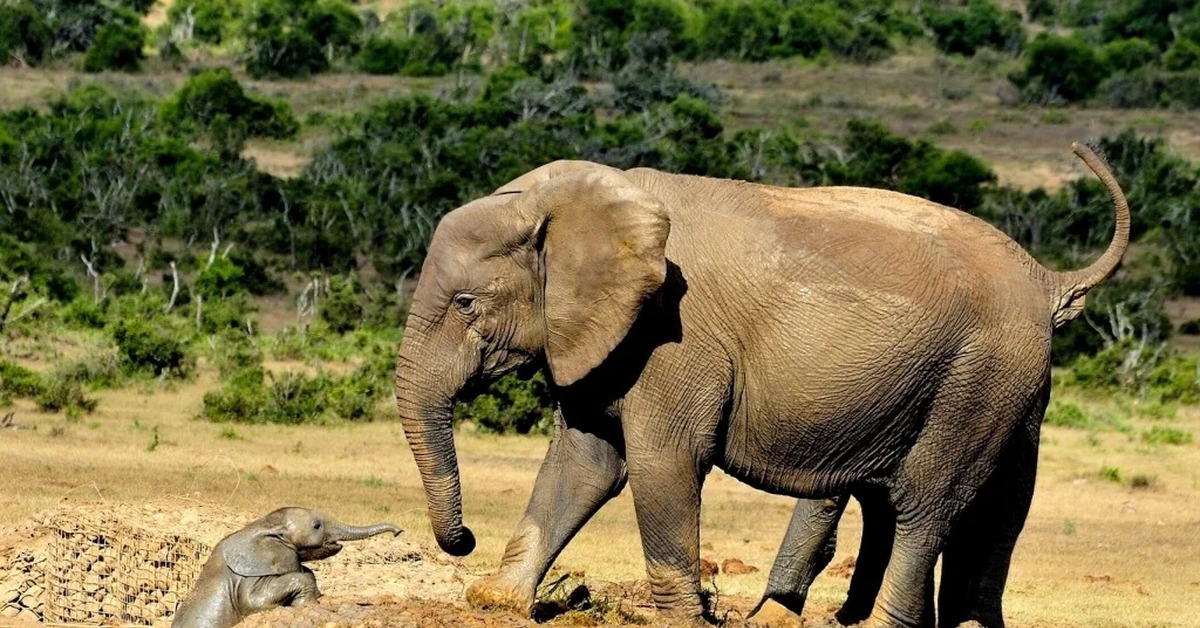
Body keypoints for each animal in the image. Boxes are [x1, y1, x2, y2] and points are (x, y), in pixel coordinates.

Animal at [171, 509, 400, 624]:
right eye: (317, 525)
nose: (398, 532)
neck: (264, 524)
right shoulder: (247, 579)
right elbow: (255, 602)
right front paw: (306, 605)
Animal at [391, 143, 1123, 628]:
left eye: (464, 304)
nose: (462, 539)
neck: (575, 203)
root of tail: (1045, 280)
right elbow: (585, 461)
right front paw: (496, 603)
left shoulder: (673, 337)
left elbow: (661, 463)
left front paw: (681, 622)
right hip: (999, 386)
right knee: (992, 507)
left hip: (977, 380)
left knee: (926, 504)